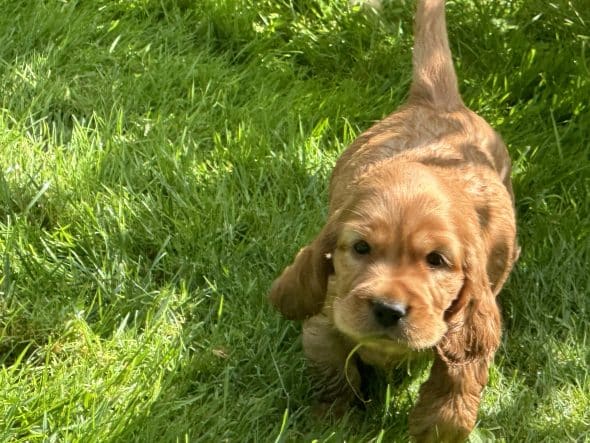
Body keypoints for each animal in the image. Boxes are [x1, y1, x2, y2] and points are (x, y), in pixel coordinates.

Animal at [270, 1, 520, 442]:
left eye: (436, 260)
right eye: (361, 248)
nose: (388, 310)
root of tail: (440, 102)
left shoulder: (468, 329)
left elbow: (453, 394)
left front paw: (434, 430)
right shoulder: (325, 317)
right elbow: (334, 375)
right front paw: (333, 422)